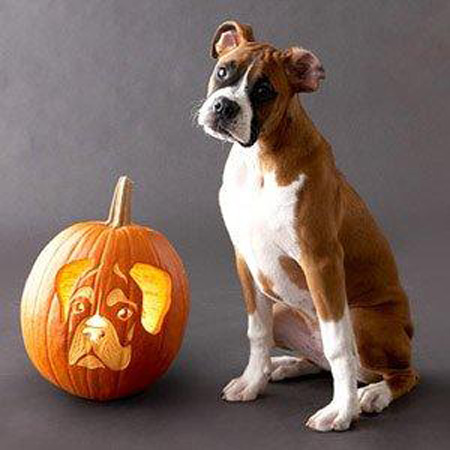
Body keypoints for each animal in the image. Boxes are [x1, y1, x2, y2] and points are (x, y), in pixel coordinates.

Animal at [197, 21, 418, 432]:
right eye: (223, 72)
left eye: (264, 91)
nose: (225, 105)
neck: (260, 160)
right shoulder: (245, 260)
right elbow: (257, 332)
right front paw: (252, 382)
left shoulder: (321, 262)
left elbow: (339, 347)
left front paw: (341, 411)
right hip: (284, 312)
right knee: (318, 360)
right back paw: (282, 366)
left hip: (363, 321)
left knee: (396, 372)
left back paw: (372, 395)